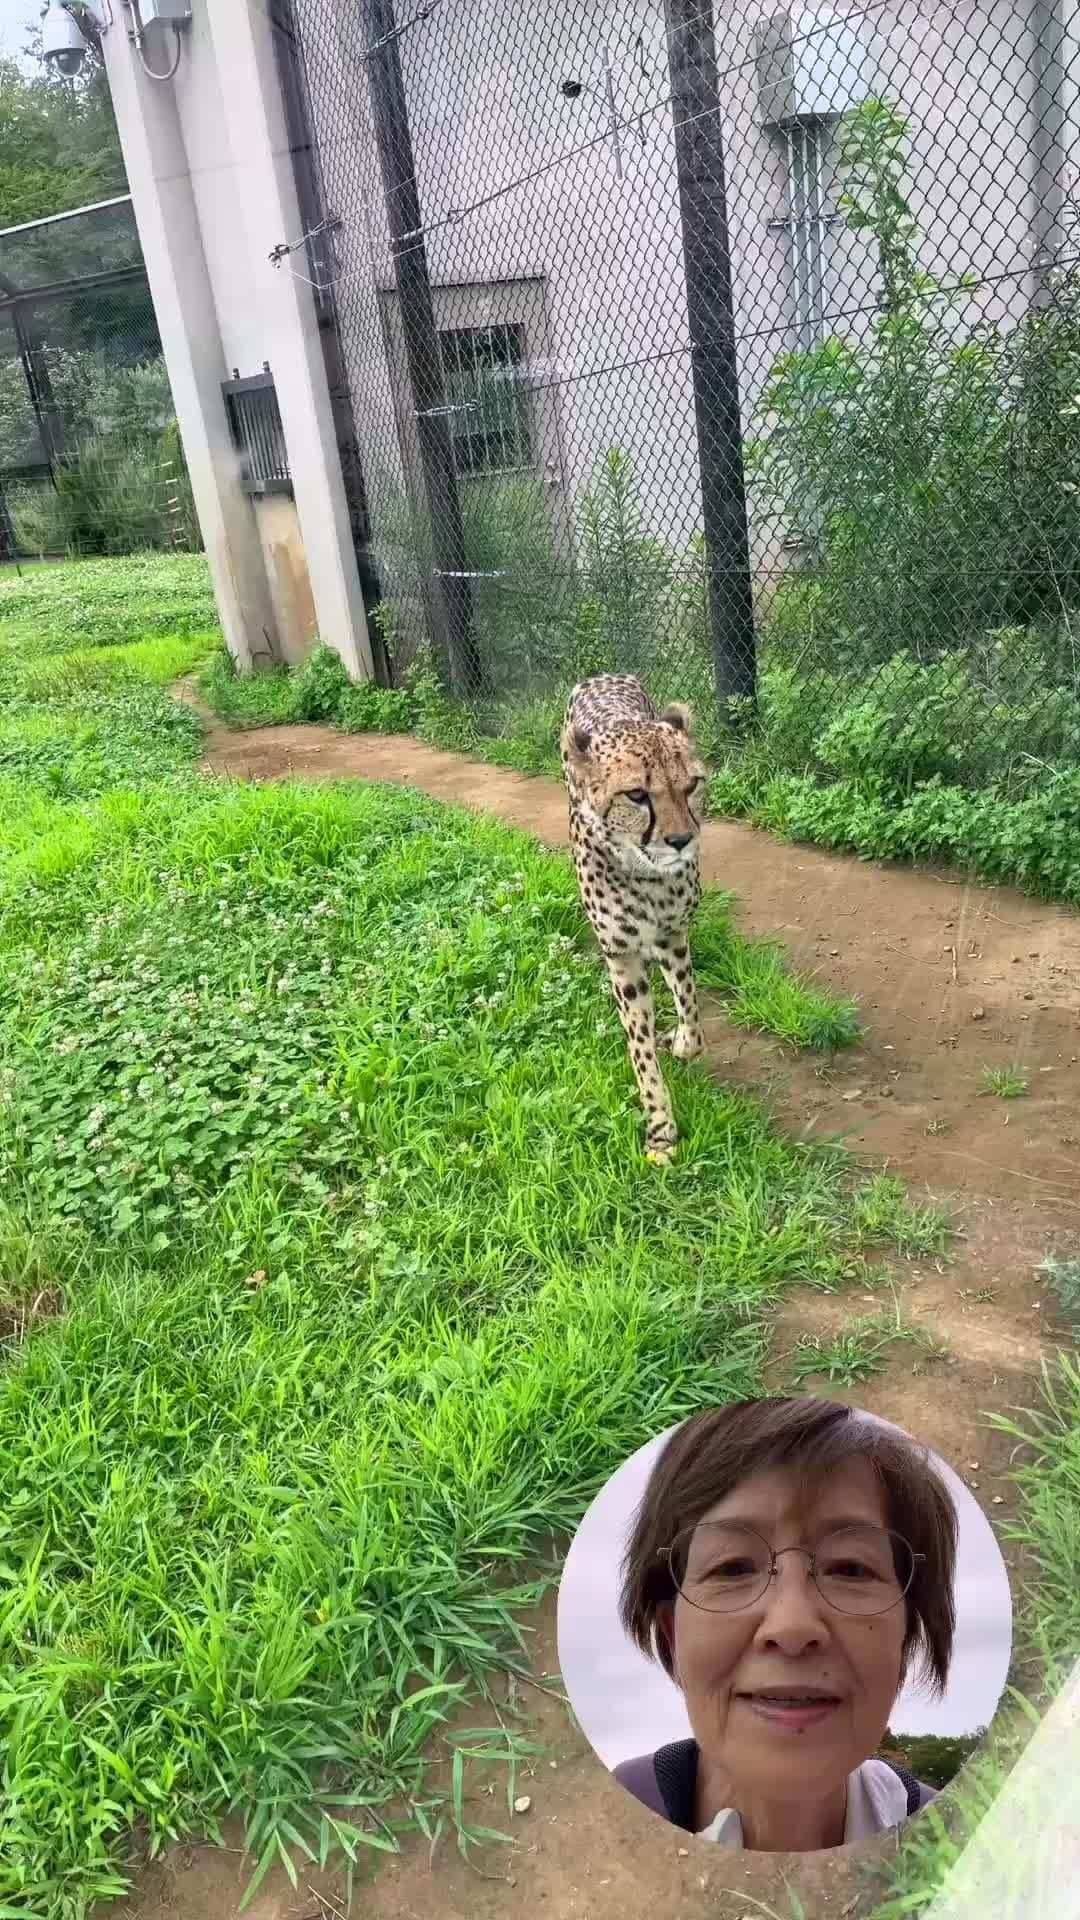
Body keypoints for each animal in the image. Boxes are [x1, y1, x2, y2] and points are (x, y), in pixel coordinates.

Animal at [564, 668, 707, 1159]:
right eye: (636, 794)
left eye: (692, 786)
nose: (681, 840)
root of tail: (601, 676)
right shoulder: (621, 955)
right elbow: (640, 1049)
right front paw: (661, 1128)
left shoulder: (673, 932)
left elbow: (690, 1006)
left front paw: (682, 1042)